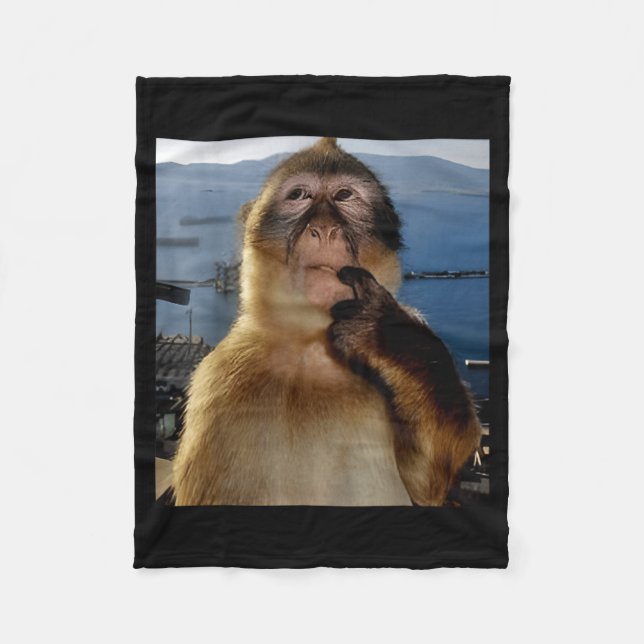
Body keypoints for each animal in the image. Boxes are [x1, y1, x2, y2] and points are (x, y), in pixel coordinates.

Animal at [171, 137, 481, 506]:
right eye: (299, 195)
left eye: (344, 195)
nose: (324, 229)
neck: (312, 345)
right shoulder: (219, 383)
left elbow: (427, 484)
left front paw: (388, 336)